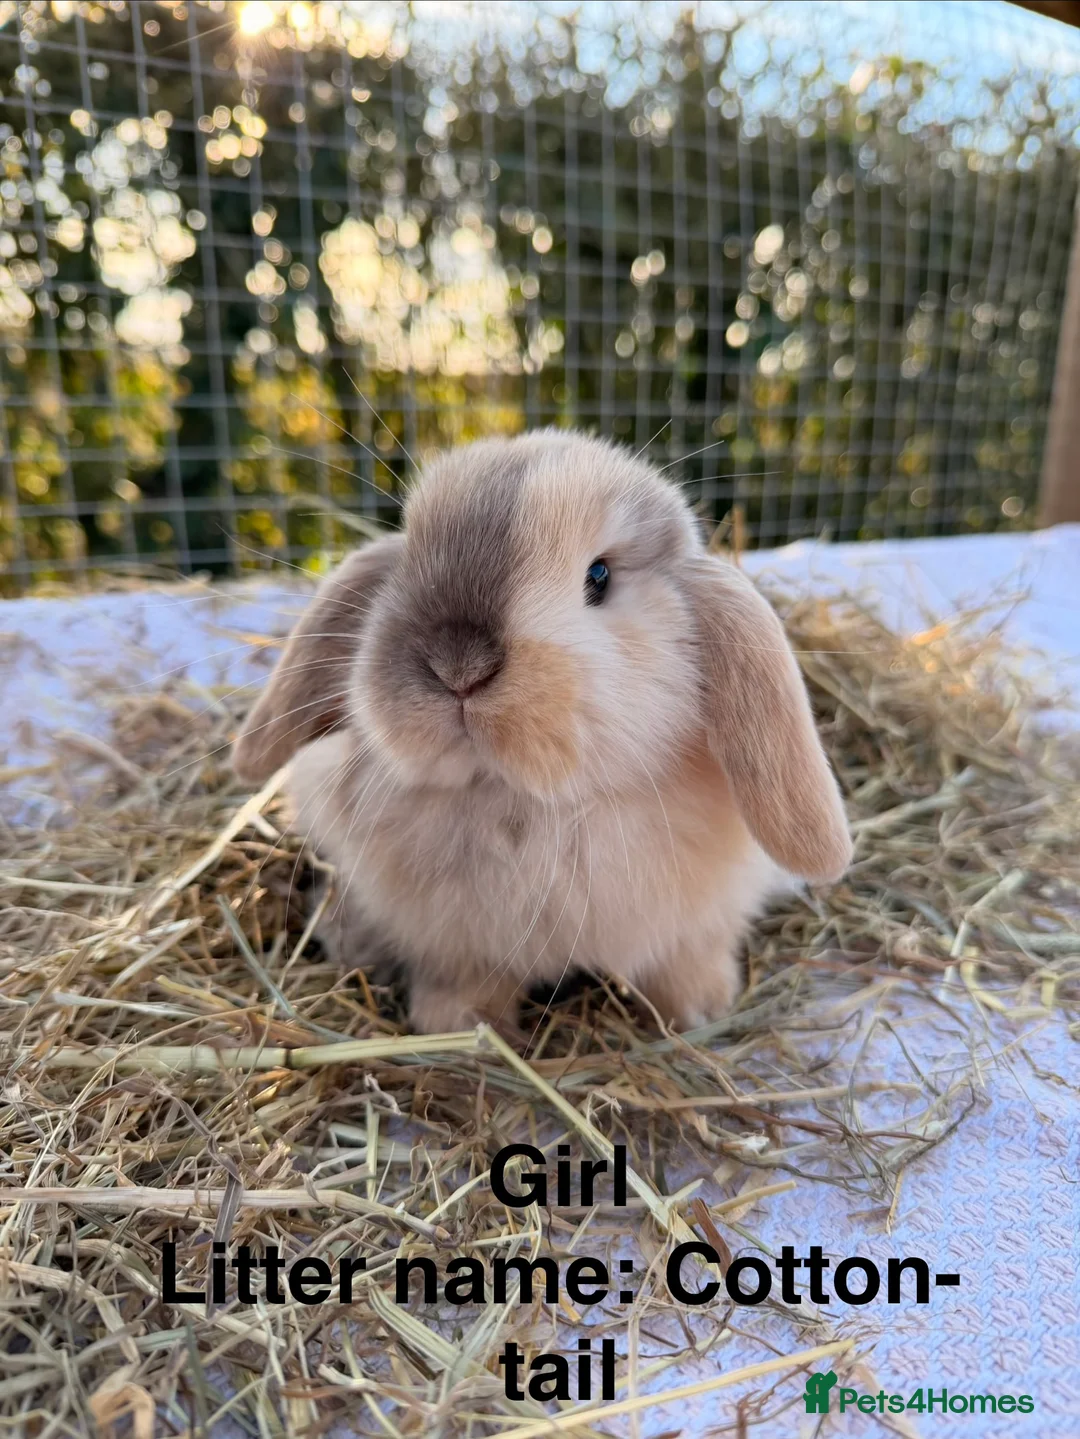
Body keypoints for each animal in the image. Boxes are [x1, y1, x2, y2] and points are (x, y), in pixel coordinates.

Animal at [233, 430, 851, 1035]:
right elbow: (464, 984)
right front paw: (460, 1027)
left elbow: (684, 963)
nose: (458, 667)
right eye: (409, 557)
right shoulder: (457, 949)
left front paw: (702, 1010)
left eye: (599, 577)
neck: (528, 806)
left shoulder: (694, 925)